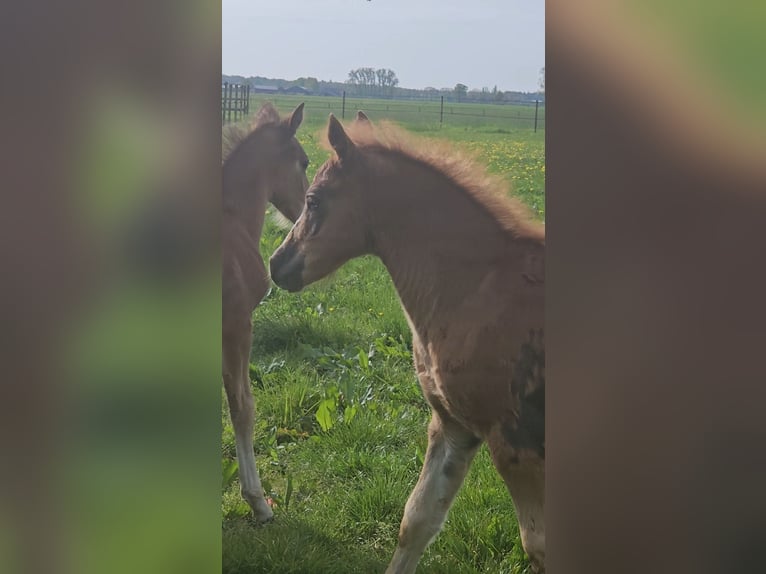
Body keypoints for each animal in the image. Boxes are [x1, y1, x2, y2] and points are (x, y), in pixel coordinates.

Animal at [270, 115, 544, 572]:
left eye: (313, 200)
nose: (277, 264)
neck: (477, 290)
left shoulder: (515, 444)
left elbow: (539, 546)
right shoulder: (452, 426)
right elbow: (417, 520)